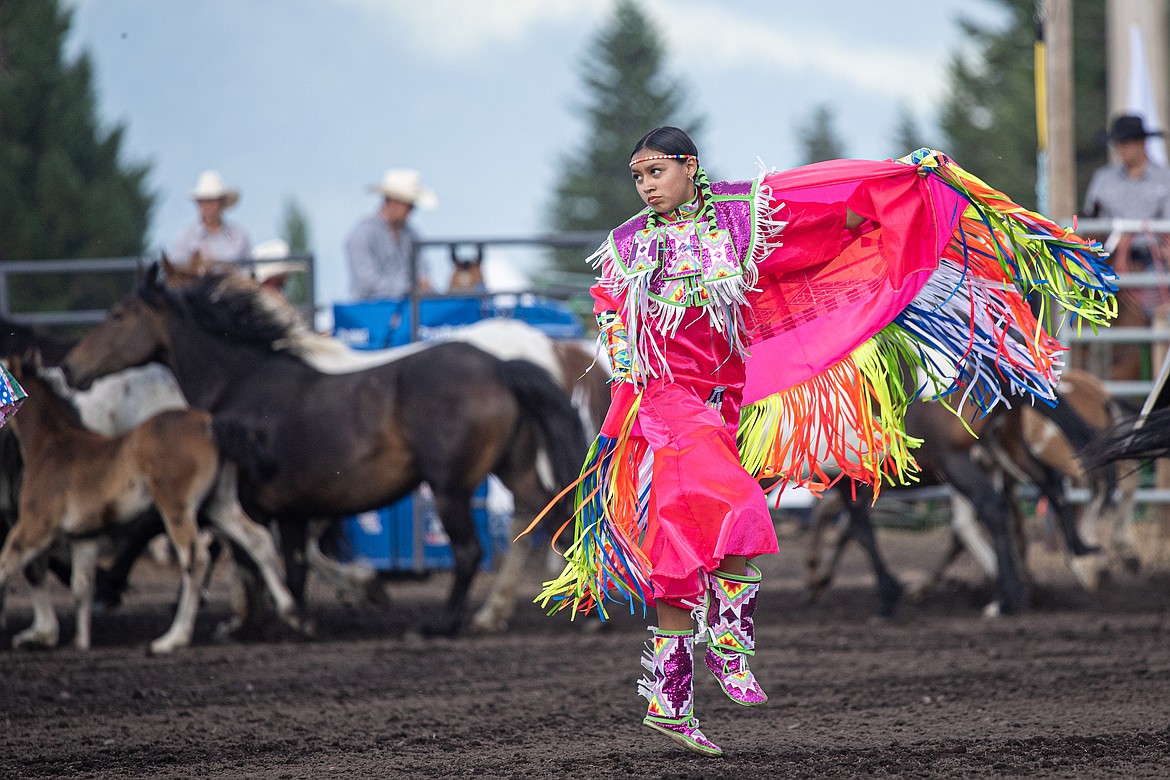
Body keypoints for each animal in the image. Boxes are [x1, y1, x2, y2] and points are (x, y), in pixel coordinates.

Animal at [1, 348, 301, 654]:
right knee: (258, 539)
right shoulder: (85, 535)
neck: (51, 446)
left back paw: (174, 637)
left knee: (196, 559)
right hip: (218, 504)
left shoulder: (35, 526)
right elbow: (81, 586)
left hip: (176, 507)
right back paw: (292, 613)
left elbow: (9, 565)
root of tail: (209, 423)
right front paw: (79, 642)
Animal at [60, 259, 589, 636]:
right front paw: (283, 617)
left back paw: (441, 625)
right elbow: (286, 564)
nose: (69, 368)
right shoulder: (287, 507)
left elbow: (222, 548)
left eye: (118, 315)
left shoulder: (239, 495)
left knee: (469, 551)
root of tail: (500, 365)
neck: (240, 381)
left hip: (450, 487)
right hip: (513, 470)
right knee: (548, 518)